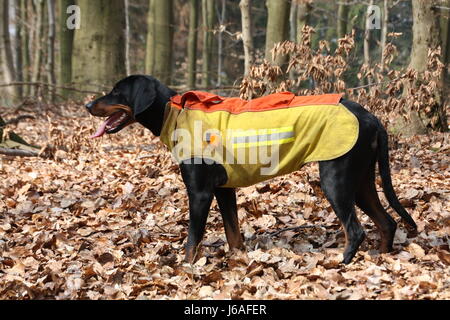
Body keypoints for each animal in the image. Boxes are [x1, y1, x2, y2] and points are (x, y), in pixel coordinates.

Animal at [86, 75, 416, 264]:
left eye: (116, 92)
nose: (88, 105)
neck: (175, 112)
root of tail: (370, 116)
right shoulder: (224, 190)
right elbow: (233, 233)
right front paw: (238, 262)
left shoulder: (200, 193)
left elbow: (193, 239)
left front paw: (185, 269)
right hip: (360, 181)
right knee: (387, 223)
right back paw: (381, 258)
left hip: (336, 179)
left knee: (356, 230)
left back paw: (341, 263)